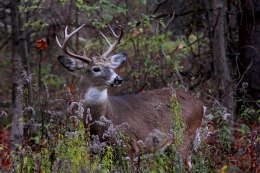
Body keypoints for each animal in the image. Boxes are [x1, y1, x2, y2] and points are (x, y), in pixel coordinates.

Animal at [55, 24, 204, 164]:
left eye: (111, 66)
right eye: (95, 69)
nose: (118, 79)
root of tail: (201, 105)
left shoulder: (129, 145)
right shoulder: (96, 149)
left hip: (185, 134)